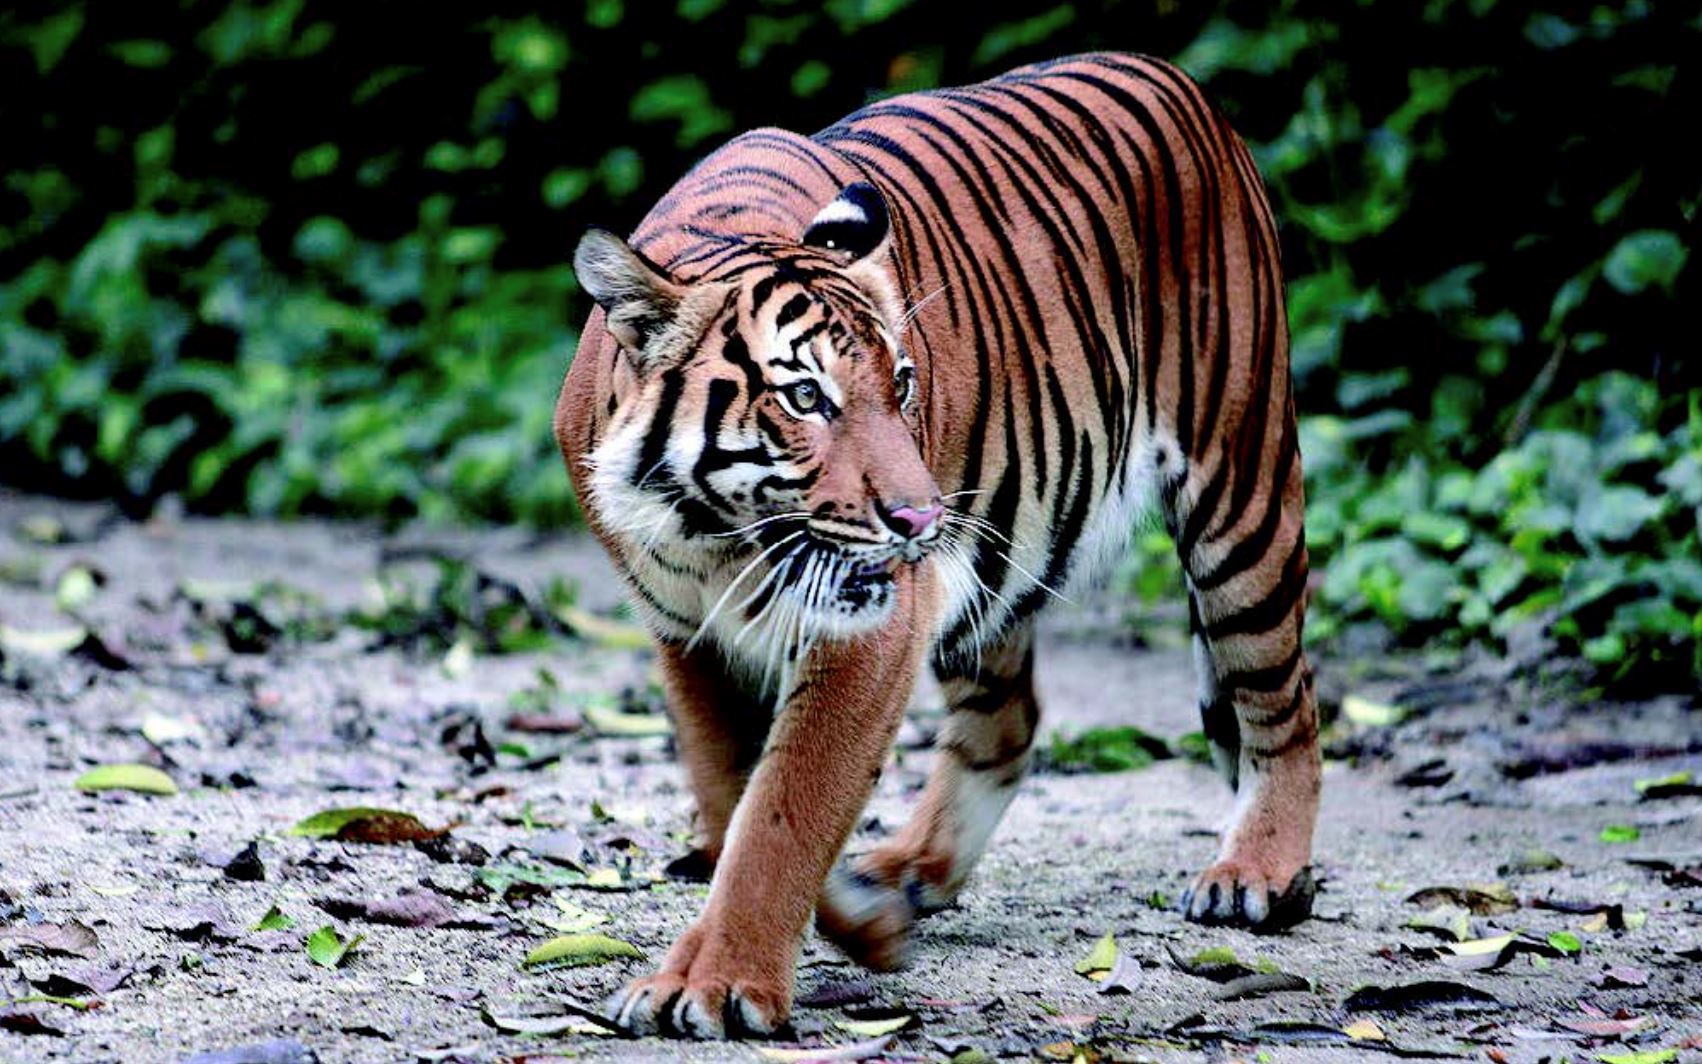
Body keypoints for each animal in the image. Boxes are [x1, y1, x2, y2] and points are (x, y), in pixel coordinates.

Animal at [554, 51, 1321, 1039]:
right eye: (805, 398)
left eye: (905, 383)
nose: (923, 521)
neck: (716, 532)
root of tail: (1173, 75)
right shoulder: (688, 634)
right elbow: (735, 800)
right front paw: (859, 923)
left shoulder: (867, 628)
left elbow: (783, 812)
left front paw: (718, 984)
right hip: (1000, 565)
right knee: (1007, 723)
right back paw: (909, 872)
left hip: (1240, 484)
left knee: (1283, 699)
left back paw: (1255, 873)